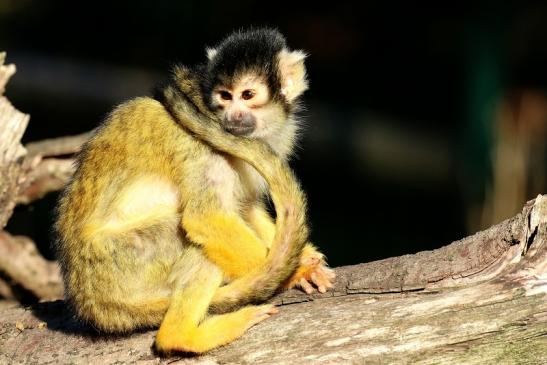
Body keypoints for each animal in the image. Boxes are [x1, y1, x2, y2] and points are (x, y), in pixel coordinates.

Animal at [54, 28, 334, 352]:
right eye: (224, 96)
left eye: (247, 95)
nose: (233, 117)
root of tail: (91, 303)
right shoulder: (200, 140)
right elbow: (207, 217)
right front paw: (295, 271)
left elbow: (246, 207)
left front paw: (306, 259)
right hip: (121, 263)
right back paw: (183, 335)